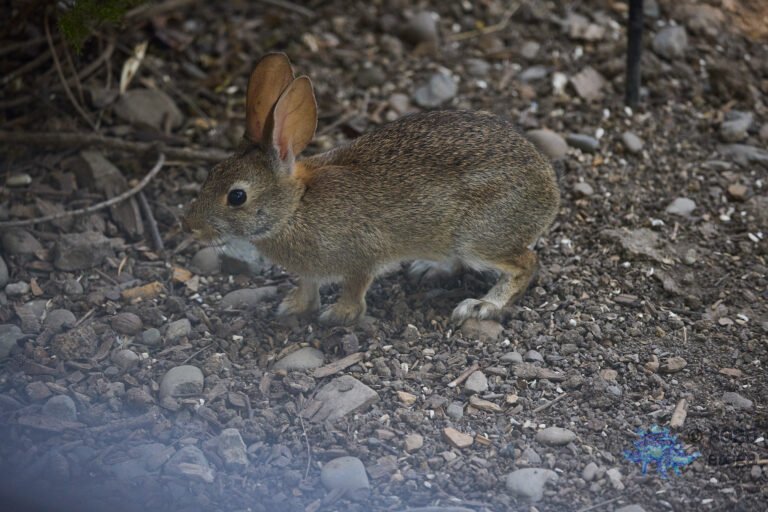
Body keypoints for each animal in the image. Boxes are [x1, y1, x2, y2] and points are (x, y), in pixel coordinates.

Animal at [184, 53, 560, 326]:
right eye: (211, 173)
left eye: (237, 196)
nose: (192, 228)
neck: (295, 206)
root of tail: (548, 189)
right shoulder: (310, 269)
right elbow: (307, 284)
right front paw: (294, 307)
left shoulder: (361, 255)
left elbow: (354, 286)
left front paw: (339, 315)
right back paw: (429, 269)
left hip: (480, 236)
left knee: (527, 262)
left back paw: (483, 305)